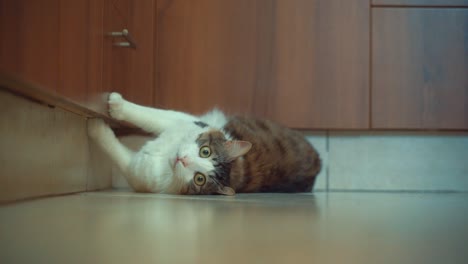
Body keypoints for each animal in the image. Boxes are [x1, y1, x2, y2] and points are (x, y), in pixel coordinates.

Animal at [87, 92, 322, 194]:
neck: (166, 155)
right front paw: (118, 106)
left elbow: (114, 149)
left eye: (199, 179)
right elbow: (151, 115)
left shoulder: (138, 173)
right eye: (205, 151)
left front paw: (97, 125)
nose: (183, 159)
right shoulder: (185, 121)